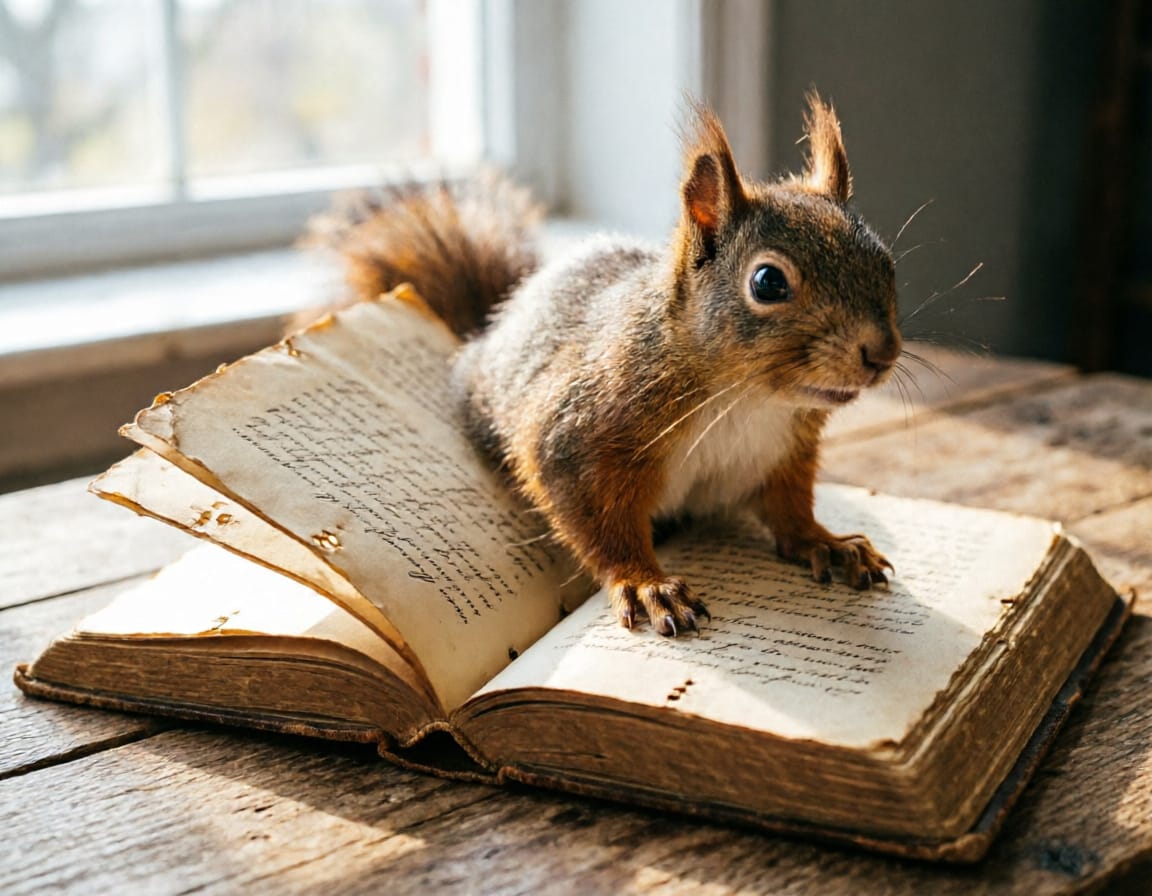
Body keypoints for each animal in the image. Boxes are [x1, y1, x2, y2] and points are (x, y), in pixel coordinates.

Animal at [310, 93, 902, 637]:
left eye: (885, 263)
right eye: (768, 282)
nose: (882, 354)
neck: (747, 399)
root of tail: (489, 328)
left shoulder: (781, 453)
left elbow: (789, 509)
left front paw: (825, 541)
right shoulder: (580, 437)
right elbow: (599, 523)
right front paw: (645, 582)